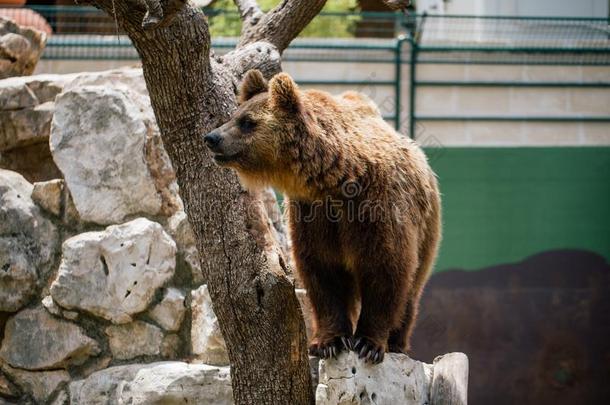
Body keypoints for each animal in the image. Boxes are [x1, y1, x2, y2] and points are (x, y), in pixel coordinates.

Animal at [203, 69, 436, 362]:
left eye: (247, 122)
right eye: (234, 116)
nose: (211, 138)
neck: (337, 178)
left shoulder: (374, 208)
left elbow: (385, 268)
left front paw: (368, 344)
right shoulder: (313, 216)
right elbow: (323, 273)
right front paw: (329, 342)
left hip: (426, 227)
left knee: (412, 288)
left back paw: (397, 341)